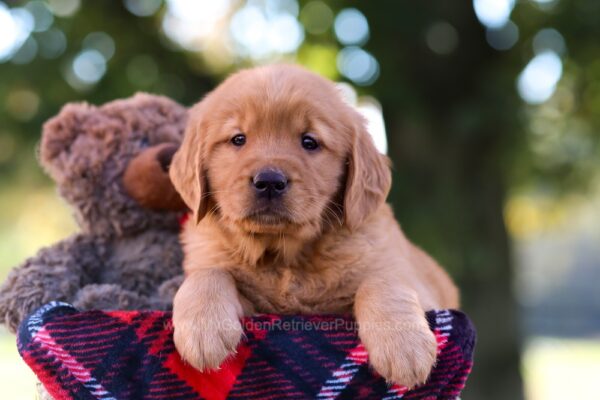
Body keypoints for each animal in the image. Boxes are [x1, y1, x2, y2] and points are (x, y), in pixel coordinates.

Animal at [169, 65, 460, 388]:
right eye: (238, 139)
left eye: (309, 142)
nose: (269, 181)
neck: (284, 255)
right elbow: (208, 274)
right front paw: (203, 329)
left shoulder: (412, 281)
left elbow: (383, 280)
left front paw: (404, 346)